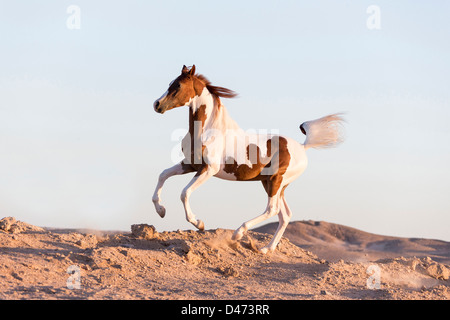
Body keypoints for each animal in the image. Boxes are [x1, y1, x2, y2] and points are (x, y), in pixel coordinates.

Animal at [152, 65, 344, 254]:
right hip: (273, 183)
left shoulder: (209, 169)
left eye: (178, 86)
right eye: (170, 83)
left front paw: (199, 223)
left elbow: (185, 192)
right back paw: (266, 249)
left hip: (276, 180)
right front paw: (161, 210)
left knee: (272, 209)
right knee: (285, 215)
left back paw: (238, 233)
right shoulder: (190, 164)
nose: (157, 104)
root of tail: (302, 147)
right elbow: (163, 174)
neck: (207, 131)